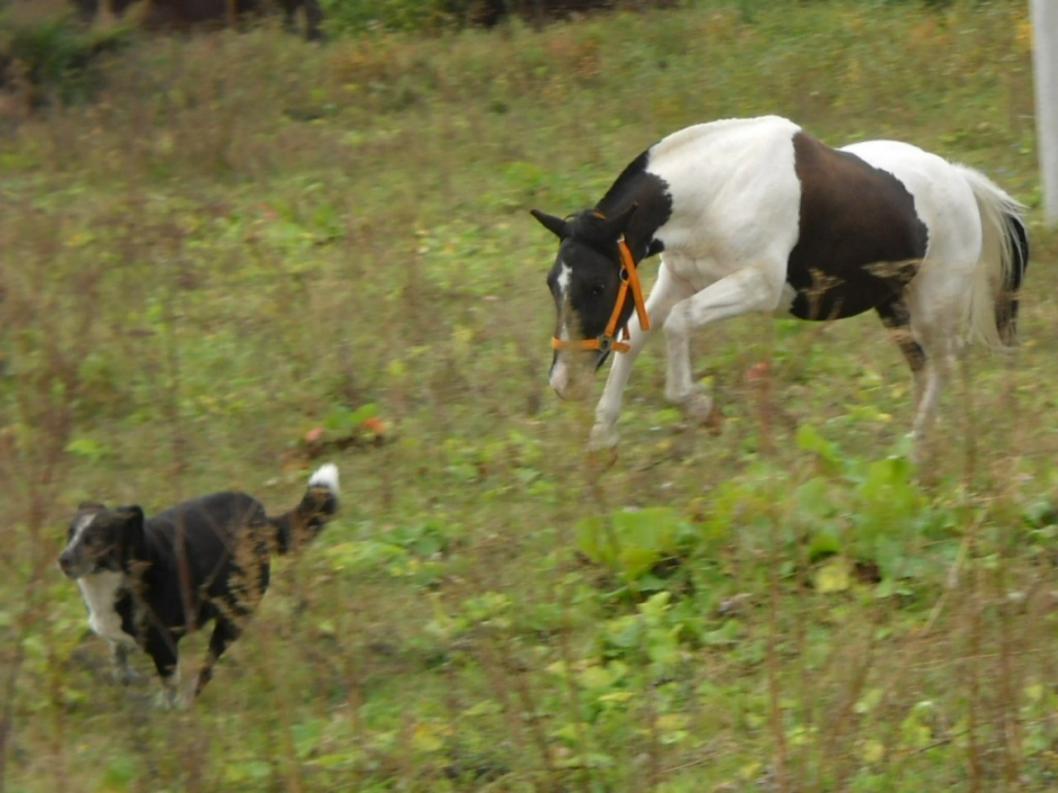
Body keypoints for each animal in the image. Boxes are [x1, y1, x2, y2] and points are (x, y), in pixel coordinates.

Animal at [58, 465, 338, 706]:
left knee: (207, 667)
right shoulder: (118, 638)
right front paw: (126, 678)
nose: (63, 560)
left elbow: (169, 689)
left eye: (95, 539)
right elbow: (119, 659)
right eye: (70, 533)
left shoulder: (165, 648)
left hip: (232, 617)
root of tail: (261, 518)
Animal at [533, 114, 1028, 456]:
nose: (564, 382)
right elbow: (637, 335)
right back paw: (910, 443)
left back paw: (916, 447)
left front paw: (704, 410)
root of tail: (961, 180)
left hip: (933, 304)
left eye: (597, 286)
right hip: (892, 305)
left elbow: (678, 324)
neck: (718, 188)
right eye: (553, 284)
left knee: (943, 364)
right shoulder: (678, 278)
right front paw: (602, 441)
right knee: (922, 368)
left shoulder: (757, 287)